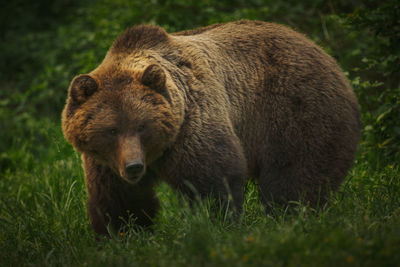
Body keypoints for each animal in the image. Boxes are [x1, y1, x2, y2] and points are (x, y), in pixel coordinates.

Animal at [61, 19, 360, 236]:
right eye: (112, 130)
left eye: (142, 126)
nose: (134, 166)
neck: (157, 153)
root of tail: (322, 51)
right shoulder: (106, 161)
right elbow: (118, 198)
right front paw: (123, 233)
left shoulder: (191, 124)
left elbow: (212, 180)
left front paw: (214, 224)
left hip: (297, 108)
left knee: (294, 174)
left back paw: (290, 216)